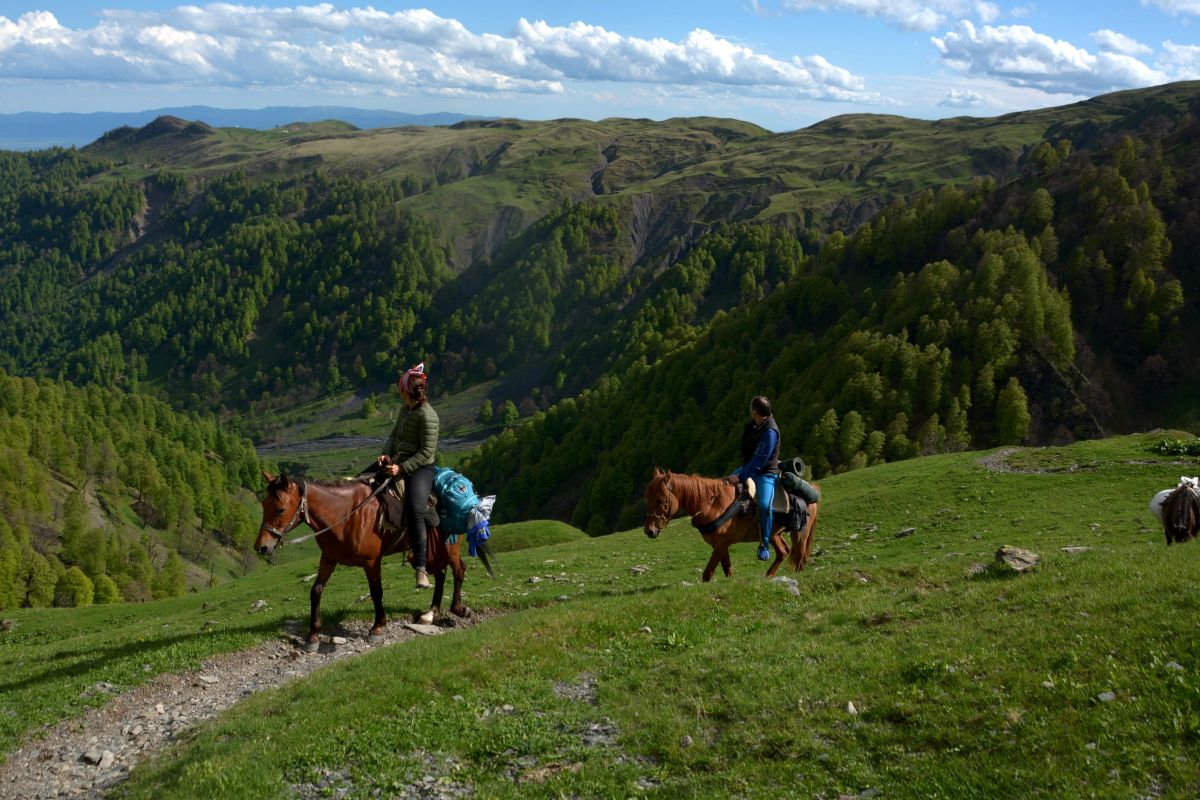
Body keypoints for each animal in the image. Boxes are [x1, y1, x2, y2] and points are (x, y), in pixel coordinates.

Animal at [254, 472, 472, 652]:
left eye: (280, 510)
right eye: (263, 506)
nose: (261, 547)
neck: (346, 515)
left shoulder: (371, 561)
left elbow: (376, 592)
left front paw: (378, 627)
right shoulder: (329, 559)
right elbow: (316, 590)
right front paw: (313, 636)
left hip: (450, 547)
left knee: (459, 570)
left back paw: (459, 609)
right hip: (433, 551)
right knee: (441, 574)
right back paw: (430, 613)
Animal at [643, 470, 820, 582]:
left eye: (659, 500)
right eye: (647, 498)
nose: (649, 531)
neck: (712, 504)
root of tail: (813, 489)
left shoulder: (720, 544)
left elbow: (707, 574)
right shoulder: (721, 545)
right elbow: (727, 570)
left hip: (800, 533)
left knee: (799, 557)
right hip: (773, 534)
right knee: (783, 552)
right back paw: (768, 576)